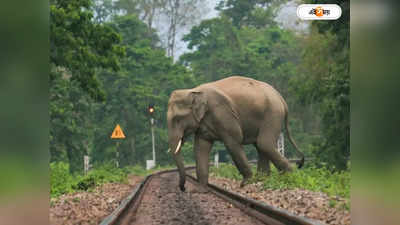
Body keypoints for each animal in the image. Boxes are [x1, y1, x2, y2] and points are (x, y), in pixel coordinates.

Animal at [167, 76, 304, 192]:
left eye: (177, 119)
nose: (183, 188)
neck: (193, 91)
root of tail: (280, 97)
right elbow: (201, 147)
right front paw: (201, 189)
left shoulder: (223, 112)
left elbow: (233, 141)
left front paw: (246, 183)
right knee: (261, 146)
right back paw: (263, 179)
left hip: (272, 114)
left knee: (264, 144)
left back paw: (291, 177)